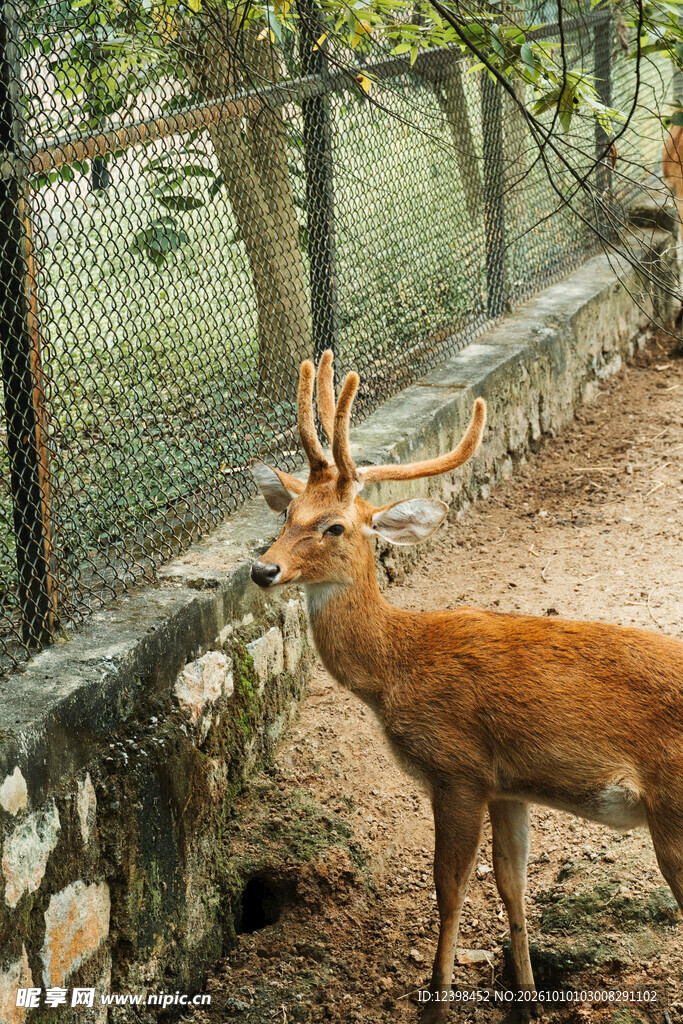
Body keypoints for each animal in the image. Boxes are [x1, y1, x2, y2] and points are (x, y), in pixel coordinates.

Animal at [249, 350, 683, 1022]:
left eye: (335, 527)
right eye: (287, 515)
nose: (263, 568)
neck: (397, 668)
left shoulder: (457, 769)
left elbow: (449, 888)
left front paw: (433, 1002)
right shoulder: (508, 784)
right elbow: (512, 885)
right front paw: (525, 1001)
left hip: (674, 809)